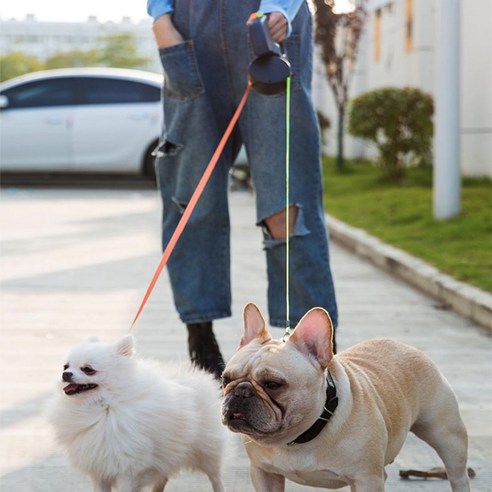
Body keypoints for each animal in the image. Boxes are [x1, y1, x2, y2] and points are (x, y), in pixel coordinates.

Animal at [48, 336, 225, 492]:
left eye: (88, 369)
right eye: (65, 366)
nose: (66, 374)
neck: (103, 406)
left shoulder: (127, 468)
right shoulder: (99, 468)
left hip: (206, 450)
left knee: (215, 476)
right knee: (163, 476)